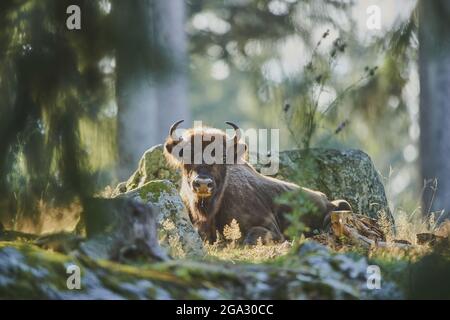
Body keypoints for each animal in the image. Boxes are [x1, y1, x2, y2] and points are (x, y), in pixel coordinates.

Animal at [164, 121, 352, 244]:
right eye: (185, 154)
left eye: (223, 156)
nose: (203, 183)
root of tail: (325, 198)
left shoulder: (270, 229)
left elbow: (249, 239)